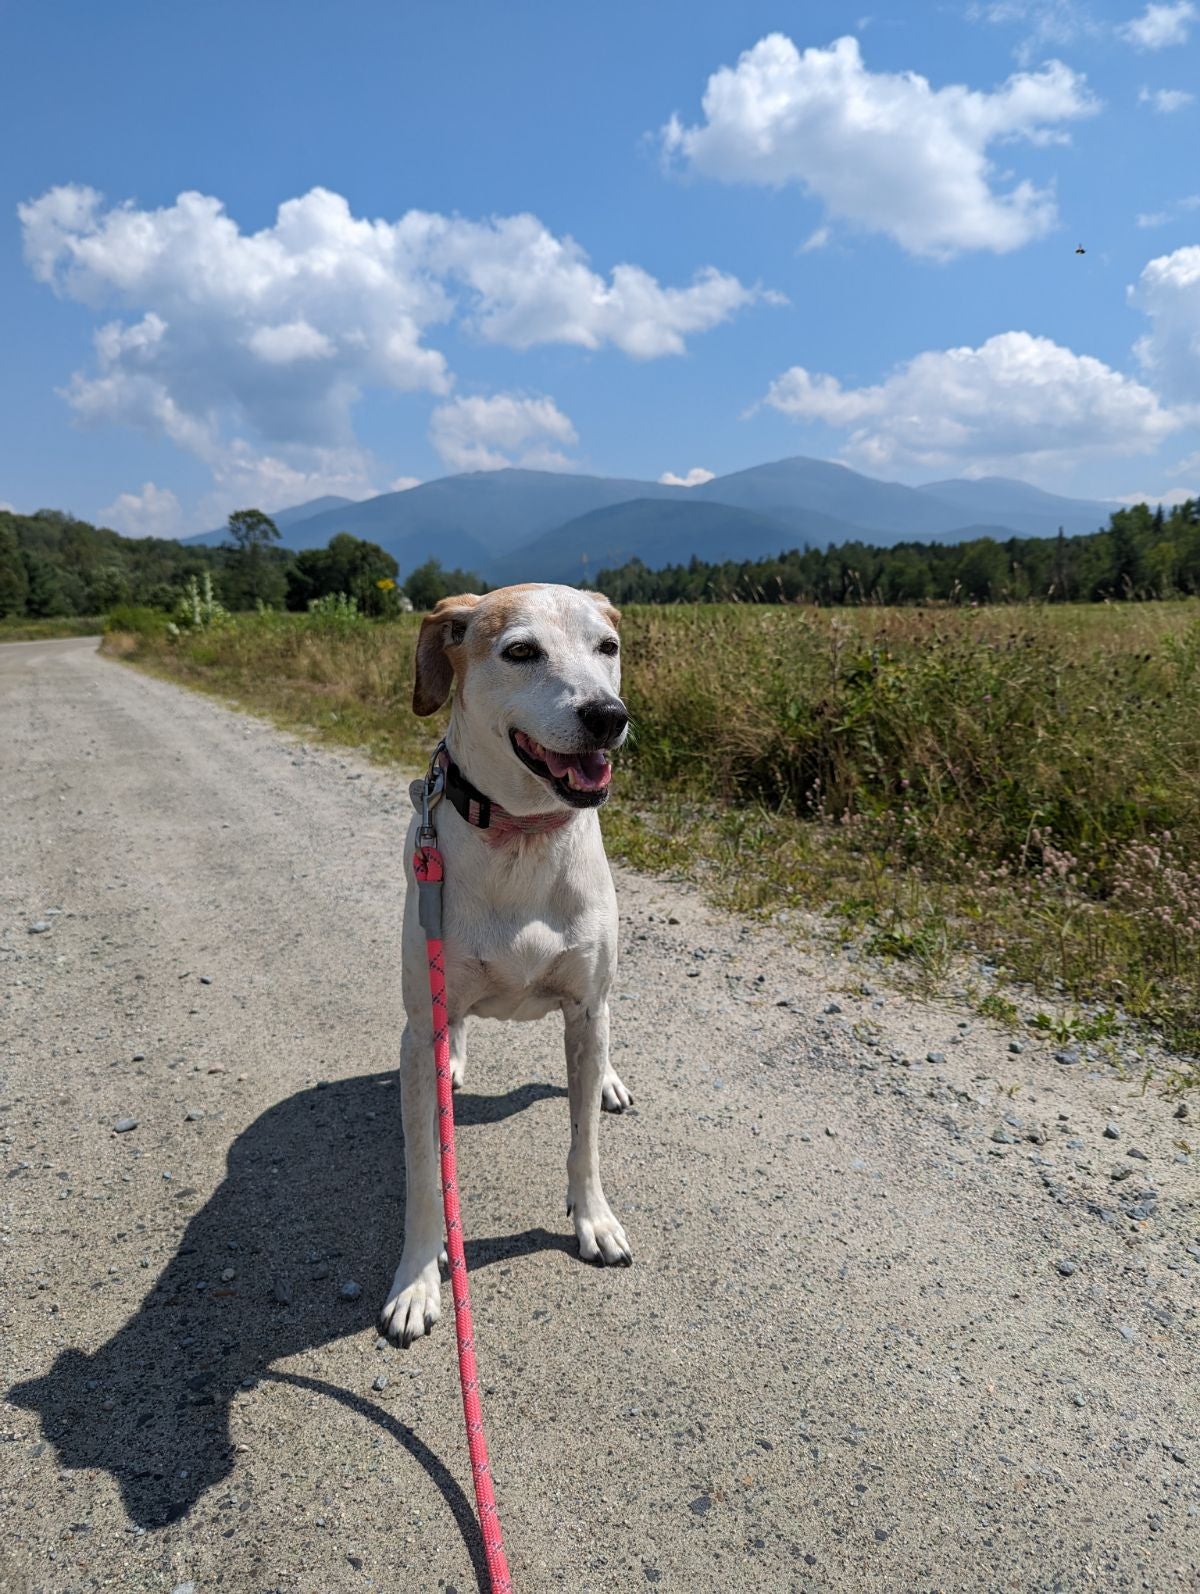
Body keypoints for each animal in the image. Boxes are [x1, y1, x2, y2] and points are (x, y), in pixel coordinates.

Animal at [379, 586, 631, 1345]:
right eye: (520, 651)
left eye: (608, 647)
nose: (608, 716)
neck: (522, 835)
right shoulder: (420, 1027)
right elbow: (427, 1177)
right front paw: (417, 1281)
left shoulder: (584, 1008)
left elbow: (584, 1141)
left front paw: (593, 1219)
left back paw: (610, 1080)